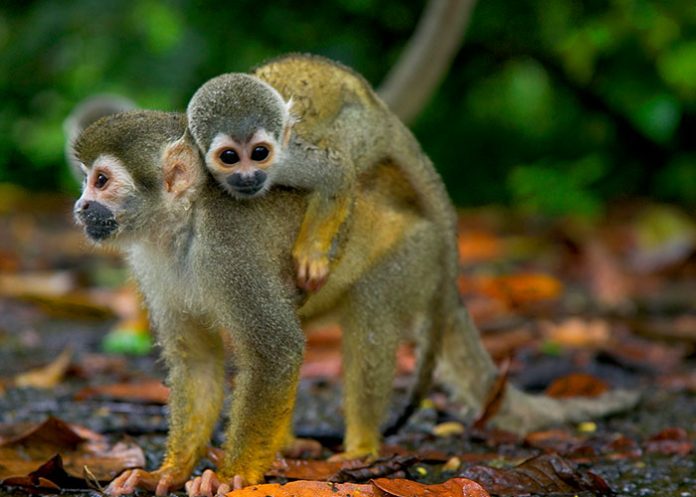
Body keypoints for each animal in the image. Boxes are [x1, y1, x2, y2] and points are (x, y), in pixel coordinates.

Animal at [71, 111, 638, 497]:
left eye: (101, 180)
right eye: (87, 181)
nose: (80, 206)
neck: (180, 226)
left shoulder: (228, 251)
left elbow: (275, 351)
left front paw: (231, 476)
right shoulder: (151, 264)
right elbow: (198, 363)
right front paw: (168, 471)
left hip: (413, 256)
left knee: (370, 316)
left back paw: (358, 452)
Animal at [187, 54, 459, 292]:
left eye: (259, 153)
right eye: (229, 157)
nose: (248, 177)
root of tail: (382, 109)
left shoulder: (290, 158)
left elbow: (336, 174)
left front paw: (311, 255)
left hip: (364, 129)